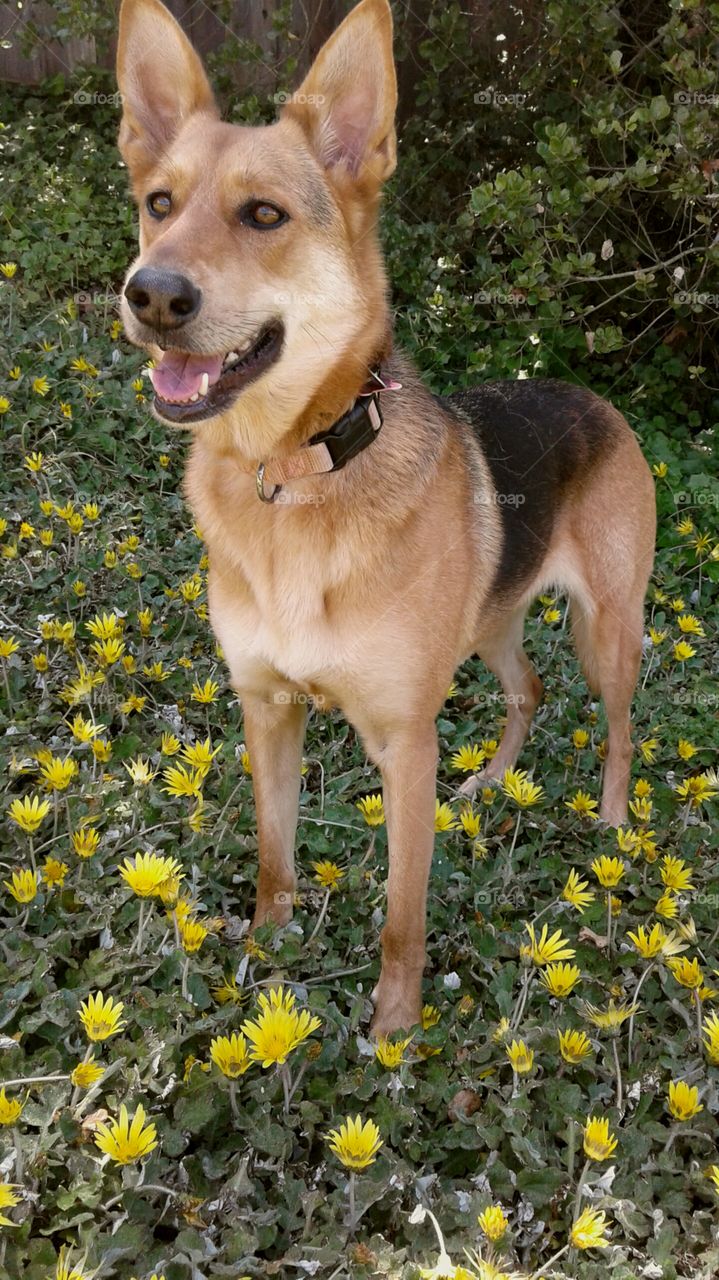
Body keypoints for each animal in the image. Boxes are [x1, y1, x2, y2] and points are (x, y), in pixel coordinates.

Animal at [114, 0, 652, 1039]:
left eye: (264, 215)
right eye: (160, 203)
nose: (151, 294)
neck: (294, 477)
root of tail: (593, 397)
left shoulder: (404, 746)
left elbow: (404, 916)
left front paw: (394, 1033)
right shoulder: (268, 710)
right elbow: (274, 858)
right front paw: (266, 959)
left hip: (608, 630)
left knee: (615, 727)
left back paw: (608, 827)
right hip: (492, 621)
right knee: (526, 688)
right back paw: (486, 782)